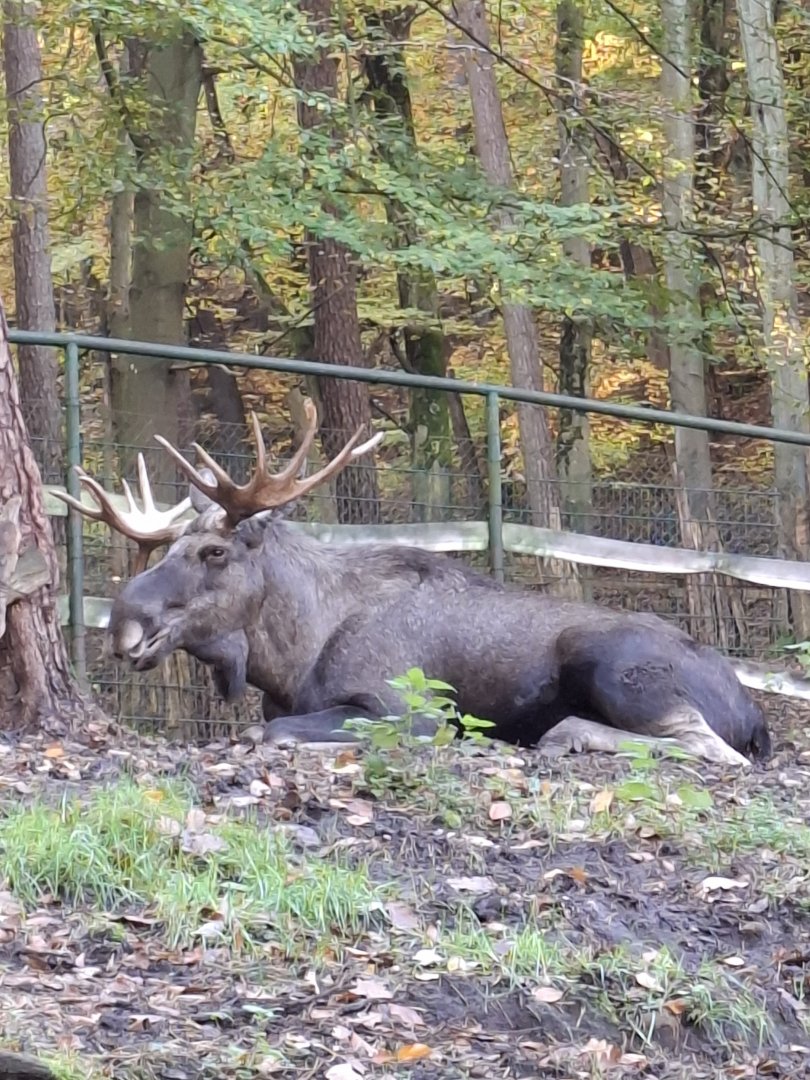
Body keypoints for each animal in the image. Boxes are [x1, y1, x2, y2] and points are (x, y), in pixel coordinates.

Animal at [56, 401, 772, 768]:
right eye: (171, 546)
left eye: (213, 551)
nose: (124, 622)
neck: (289, 657)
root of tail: (752, 709)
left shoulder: (410, 710)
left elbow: (273, 733)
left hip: (616, 664)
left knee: (711, 749)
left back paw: (566, 733)